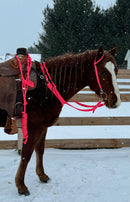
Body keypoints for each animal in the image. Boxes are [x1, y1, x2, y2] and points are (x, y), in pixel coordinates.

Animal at [0, 46, 120, 195]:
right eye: (102, 71)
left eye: (116, 70)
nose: (115, 101)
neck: (46, 86)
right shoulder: (34, 127)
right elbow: (26, 155)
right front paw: (21, 186)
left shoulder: (43, 126)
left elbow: (40, 150)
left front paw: (42, 175)